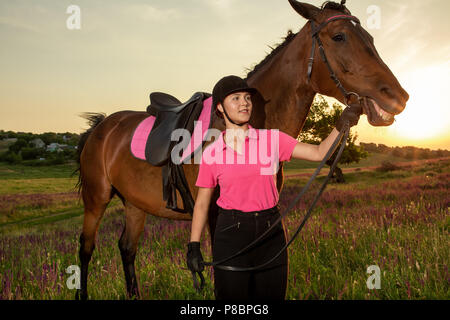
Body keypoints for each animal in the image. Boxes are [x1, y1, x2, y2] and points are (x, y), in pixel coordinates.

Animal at [75, 0, 410, 300]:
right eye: (339, 36)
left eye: (370, 38)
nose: (398, 97)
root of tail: (102, 126)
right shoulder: (213, 214)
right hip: (96, 200)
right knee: (85, 249)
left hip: (135, 205)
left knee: (127, 249)